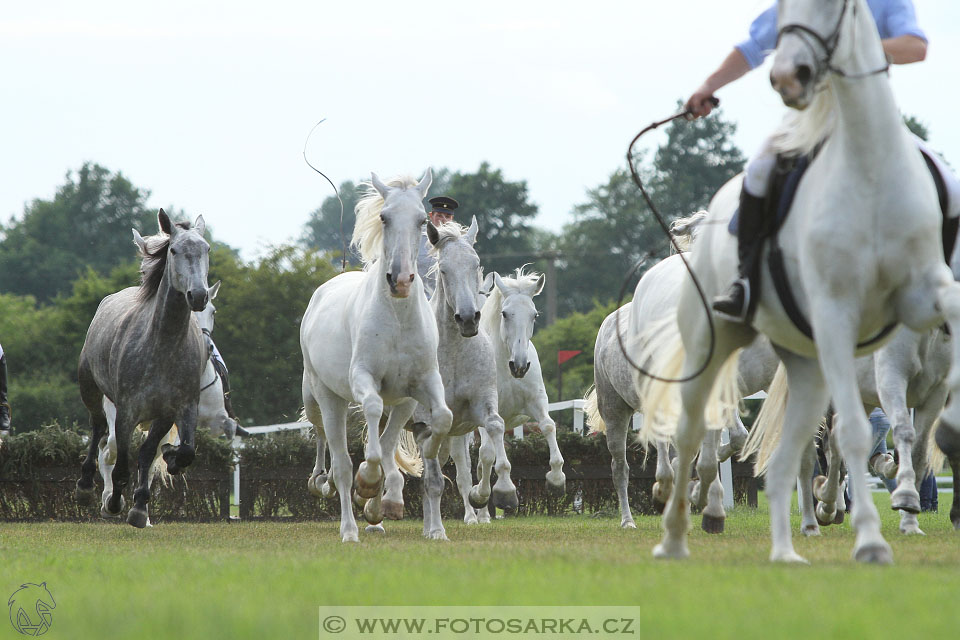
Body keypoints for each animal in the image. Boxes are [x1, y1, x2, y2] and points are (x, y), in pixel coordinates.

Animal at [76, 212, 210, 528]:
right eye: (174, 251)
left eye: (207, 249)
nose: (198, 296)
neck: (162, 346)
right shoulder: (127, 411)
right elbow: (122, 466)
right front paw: (115, 503)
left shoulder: (177, 409)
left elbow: (166, 453)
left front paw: (140, 506)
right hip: (91, 389)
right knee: (98, 429)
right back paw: (86, 487)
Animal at [300, 172, 454, 544]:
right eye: (384, 217)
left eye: (422, 221)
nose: (400, 280)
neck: (397, 317)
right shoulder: (364, 380)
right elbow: (369, 426)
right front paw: (367, 482)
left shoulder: (419, 388)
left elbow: (441, 418)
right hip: (323, 397)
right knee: (335, 456)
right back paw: (343, 516)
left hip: (393, 404)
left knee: (378, 446)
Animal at [636, 0, 960, 564]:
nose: (791, 75)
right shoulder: (871, 356)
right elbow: (878, 433)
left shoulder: (930, 364)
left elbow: (916, 445)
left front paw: (903, 511)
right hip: (718, 352)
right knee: (696, 431)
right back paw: (688, 523)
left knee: (806, 449)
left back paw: (797, 530)